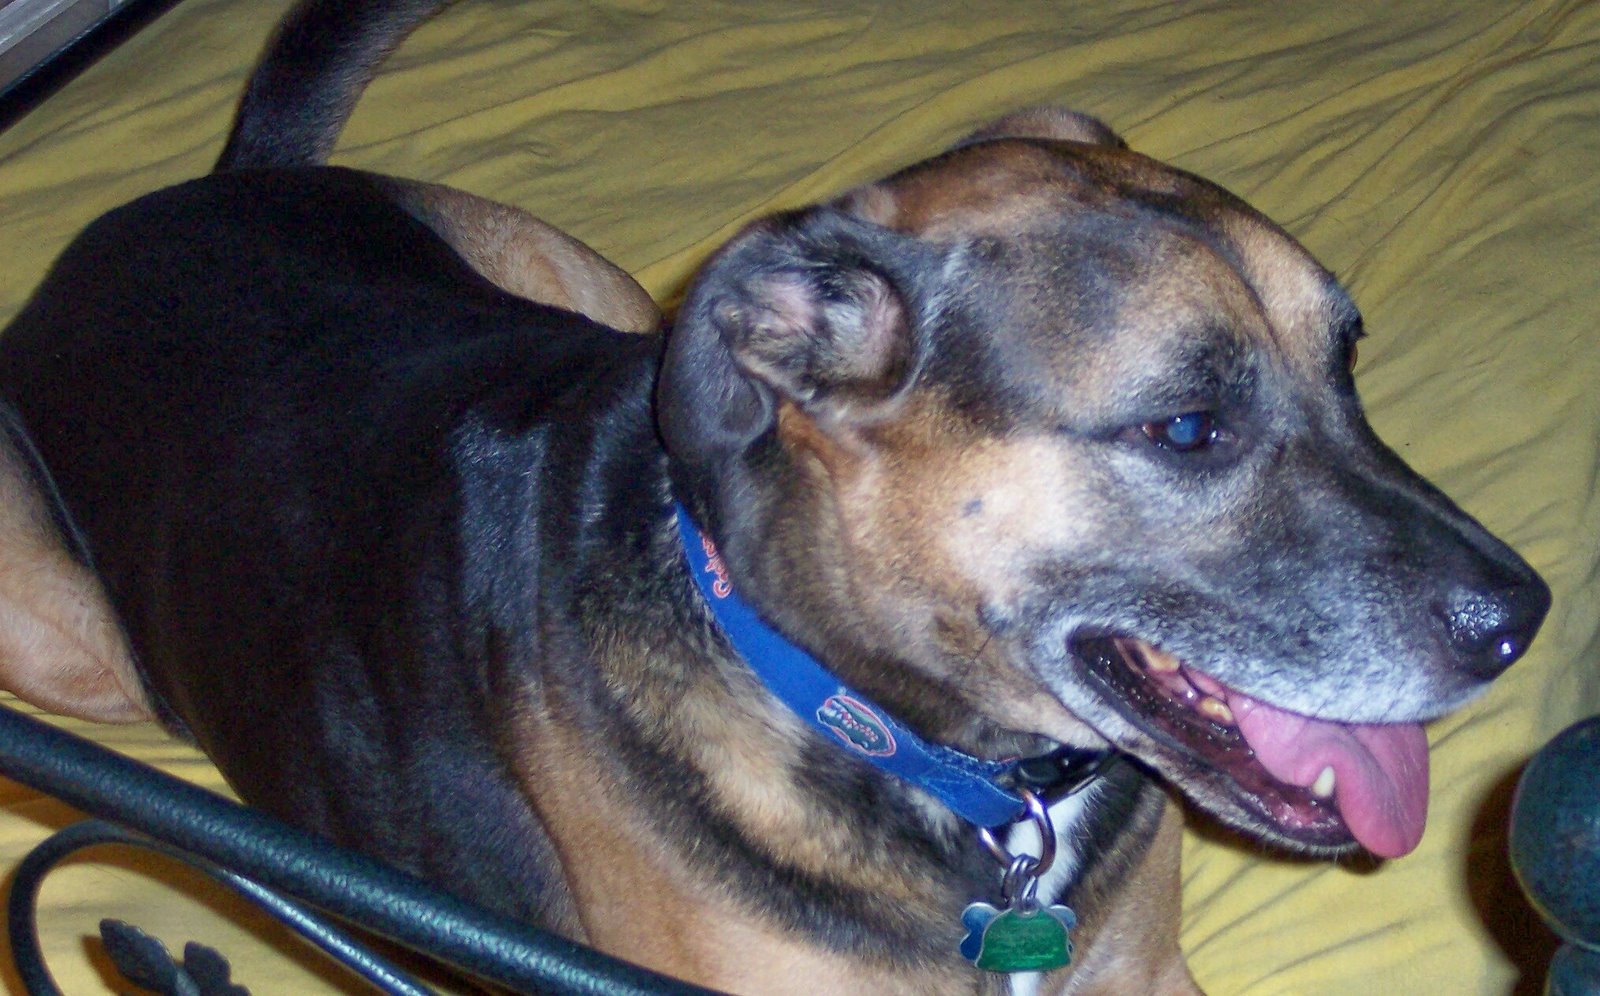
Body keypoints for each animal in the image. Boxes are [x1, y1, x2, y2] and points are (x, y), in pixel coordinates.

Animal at [0, 0, 1551, 992]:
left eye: (1347, 360)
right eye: (1189, 427)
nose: (1524, 620)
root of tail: (194, 193)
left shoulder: (1146, 974)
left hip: (598, 298)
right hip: (64, 647)